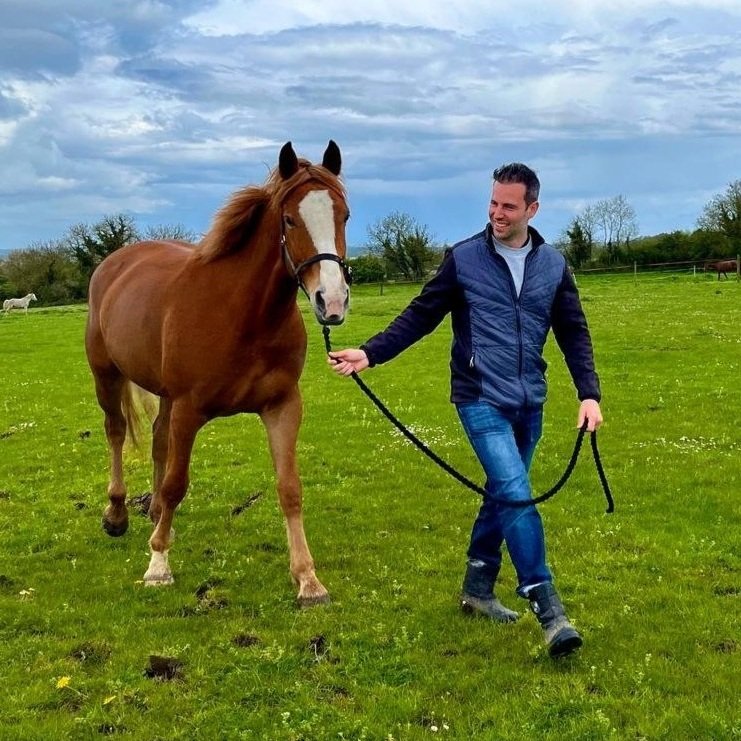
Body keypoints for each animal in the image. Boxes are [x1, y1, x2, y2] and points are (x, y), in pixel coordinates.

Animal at [85, 140, 351, 606]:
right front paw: (158, 565)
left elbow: (289, 488)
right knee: (116, 431)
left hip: (165, 396)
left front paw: (308, 579)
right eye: (289, 219)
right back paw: (117, 514)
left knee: (157, 439)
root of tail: (115, 263)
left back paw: (155, 514)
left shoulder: (282, 406)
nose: (331, 301)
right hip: (107, 375)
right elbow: (177, 482)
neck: (243, 315)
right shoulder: (190, 409)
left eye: (344, 215)